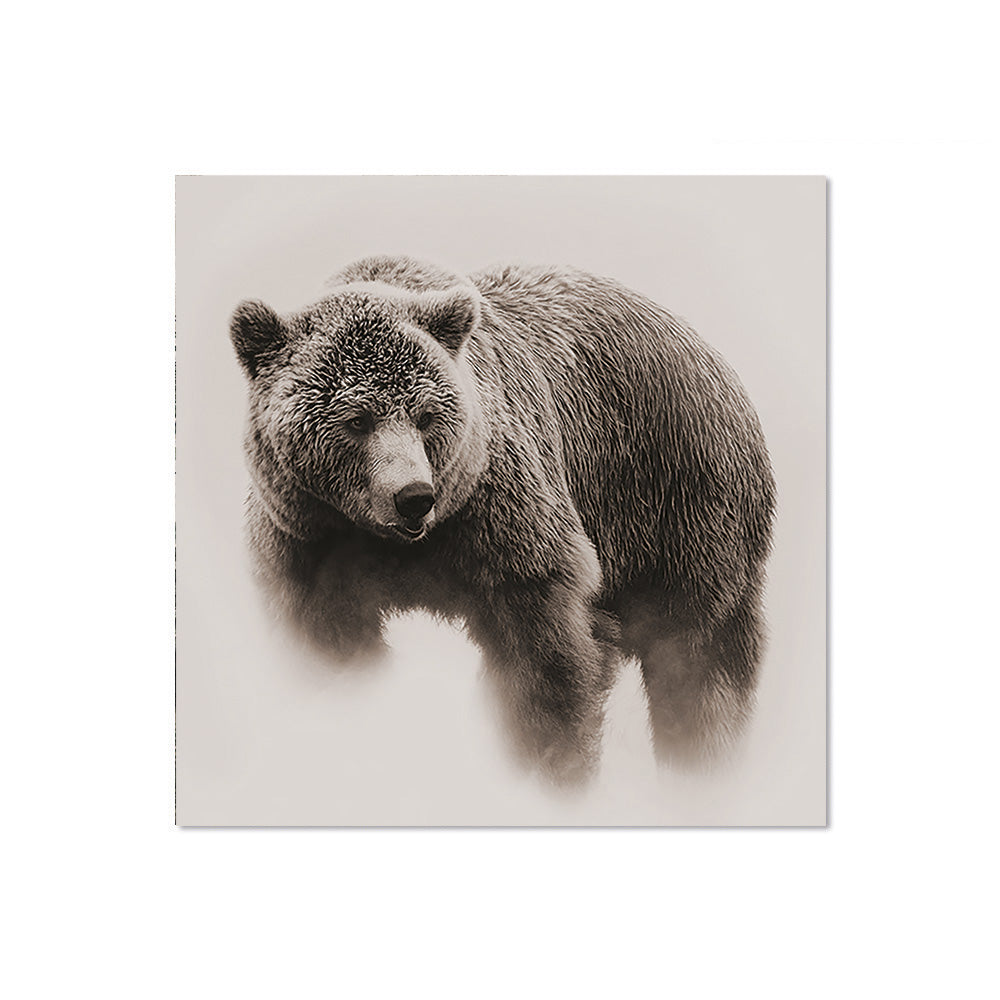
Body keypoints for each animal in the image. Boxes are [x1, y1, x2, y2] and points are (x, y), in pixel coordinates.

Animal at [230, 255, 776, 785]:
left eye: (426, 415)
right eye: (357, 419)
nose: (413, 497)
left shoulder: (506, 523)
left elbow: (547, 661)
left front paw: (550, 764)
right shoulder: (304, 543)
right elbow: (328, 644)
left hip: (681, 502)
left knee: (699, 660)